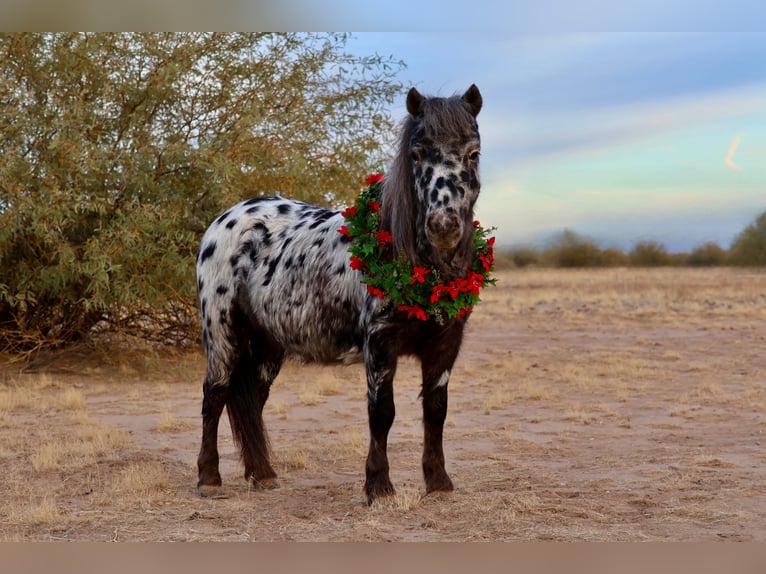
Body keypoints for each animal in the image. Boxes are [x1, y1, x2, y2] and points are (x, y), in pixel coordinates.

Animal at [198, 84, 486, 504]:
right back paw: (209, 478)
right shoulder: (380, 344)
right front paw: (379, 486)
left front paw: (438, 482)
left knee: (252, 398)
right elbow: (382, 413)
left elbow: (436, 410)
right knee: (215, 395)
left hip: (268, 343)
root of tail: (227, 218)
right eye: (416, 153)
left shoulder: (445, 344)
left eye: (473, 153)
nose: (443, 225)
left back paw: (263, 474)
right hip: (222, 333)